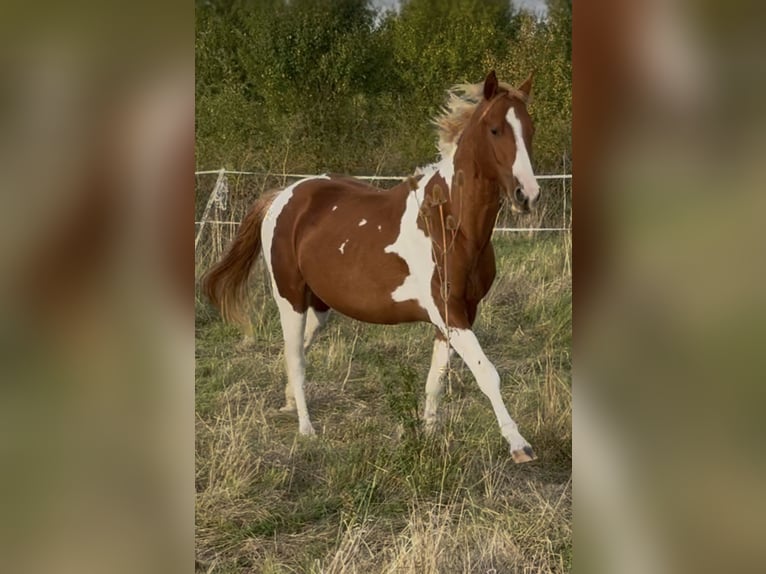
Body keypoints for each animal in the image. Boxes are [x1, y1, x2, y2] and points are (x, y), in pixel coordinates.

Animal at [203, 70, 541, 463]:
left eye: (529, 129)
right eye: (495, 130)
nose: (527, 195)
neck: (449, 222)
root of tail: (282, 197)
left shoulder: (458, 314)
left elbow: (435, 380)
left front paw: (429, 436)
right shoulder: (449, 312)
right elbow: (487, 372)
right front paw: (519, 445)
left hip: (320, 305)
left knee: (299, 348)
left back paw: (288, 402)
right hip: (289, 299)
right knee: (296, 357)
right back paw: (306, 429)